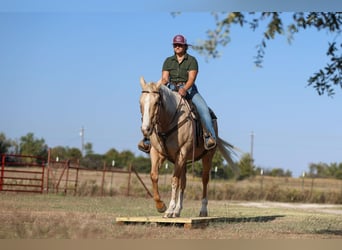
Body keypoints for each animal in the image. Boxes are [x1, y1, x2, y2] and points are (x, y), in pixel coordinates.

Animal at [139, 77, 238, 218]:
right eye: (140, 102)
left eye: (157, 102)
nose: (146, 129)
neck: (168, 122)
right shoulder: (157, 153)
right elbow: (154, 175)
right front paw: (161, 206)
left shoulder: (181, 152)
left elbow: (174, 180)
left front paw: (169, 210)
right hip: (184, 161)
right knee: (184, 182)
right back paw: (177, 210)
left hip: (207, 156)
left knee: (204, 179)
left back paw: (203, 210)